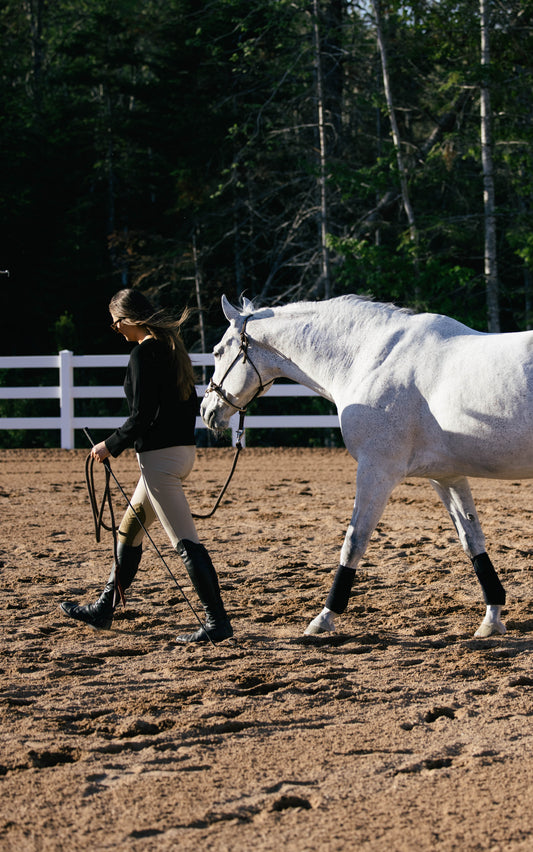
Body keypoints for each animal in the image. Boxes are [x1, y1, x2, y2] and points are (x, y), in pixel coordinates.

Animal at [201, 293, 533, 639]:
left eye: (218, 351)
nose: (207, 411)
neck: (371, 358)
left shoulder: (376, 470)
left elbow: (354, 542)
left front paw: (324, 617)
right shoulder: (446, 476)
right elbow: (473, 540)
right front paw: (492, 618)